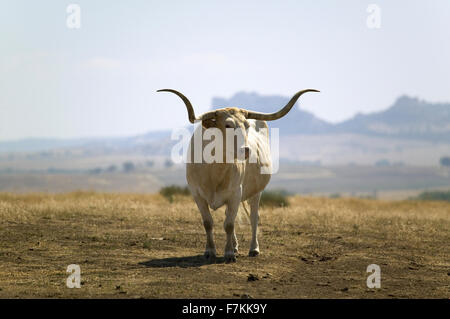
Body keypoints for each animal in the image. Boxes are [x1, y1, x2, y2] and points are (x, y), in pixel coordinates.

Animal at [156, 89, 318, 264]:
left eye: (246, 126)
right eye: (228, 125)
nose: (246, 150)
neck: (214, 171)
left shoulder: (235, 193)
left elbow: (229, 224)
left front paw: (229, 254)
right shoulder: (197, 195)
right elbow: (208, 223)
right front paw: (210, 251)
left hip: (256, 192)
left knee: (253, 218)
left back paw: (253, 249)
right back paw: (235, 246)